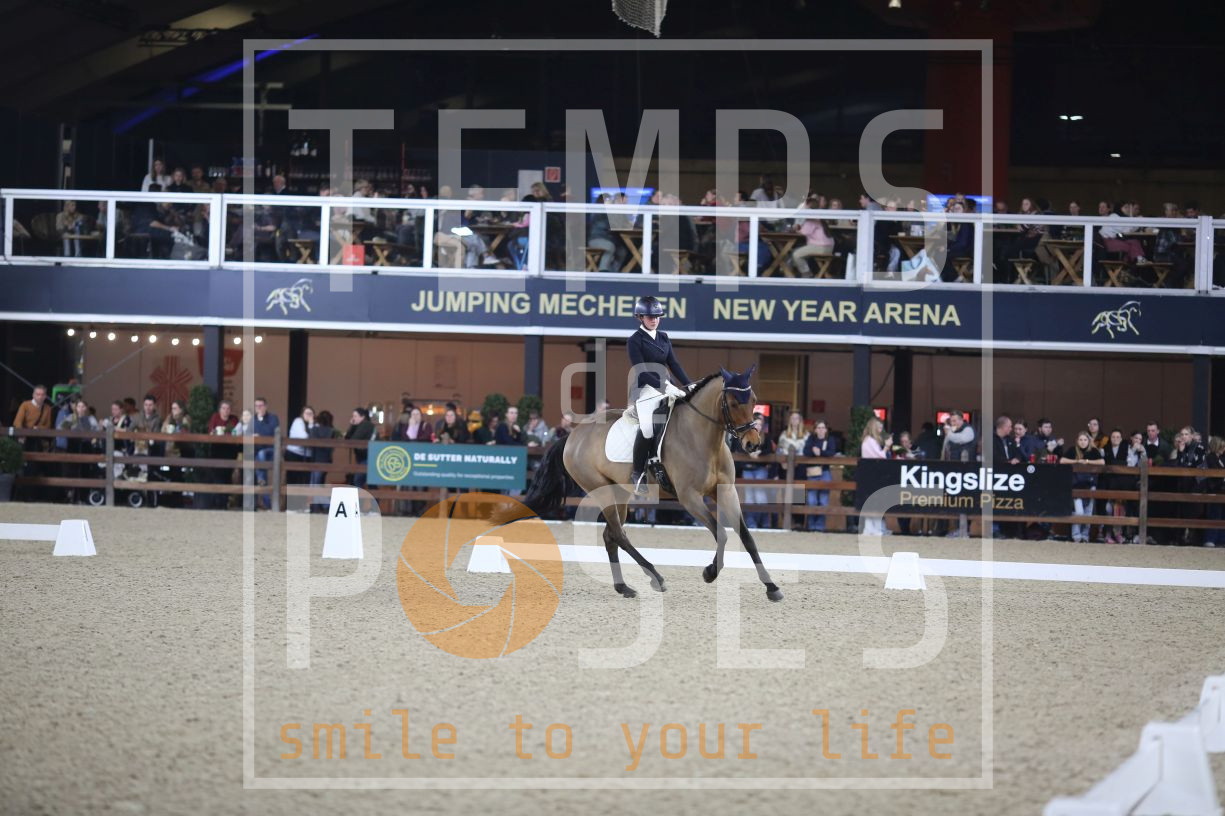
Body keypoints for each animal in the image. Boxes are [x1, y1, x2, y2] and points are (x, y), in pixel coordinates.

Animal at [520, 365, 784, 602]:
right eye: (733, 403)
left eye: (754, 401)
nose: (753, 443)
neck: (703, 437)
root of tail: (572, 436)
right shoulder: (689, 497)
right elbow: (721, 533)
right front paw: (710, 572)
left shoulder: (726, 491)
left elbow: (746, 537)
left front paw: (771, 587)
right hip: (600, 491)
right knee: (619, 534)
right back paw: (655, 577)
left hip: (620, 493)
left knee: (610, 535)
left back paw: (624, 587)